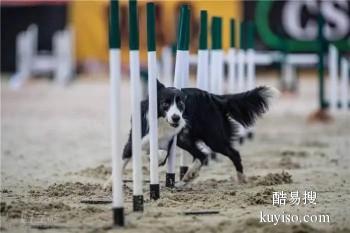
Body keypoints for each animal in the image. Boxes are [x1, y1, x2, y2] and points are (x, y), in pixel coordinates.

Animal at [121, 81, 278, 185]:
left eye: (181, 103)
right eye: (165, 103)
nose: (176, 117)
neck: (161, 122)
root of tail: (215, 97)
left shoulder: (169, 141)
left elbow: (161, 154)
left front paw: (156, 159)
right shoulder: (134, 140)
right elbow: (124, 160)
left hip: (213, 138)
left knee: (232, 153)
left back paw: (241, 177)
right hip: (185, 138)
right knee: (202, 155)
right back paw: (190, 174)